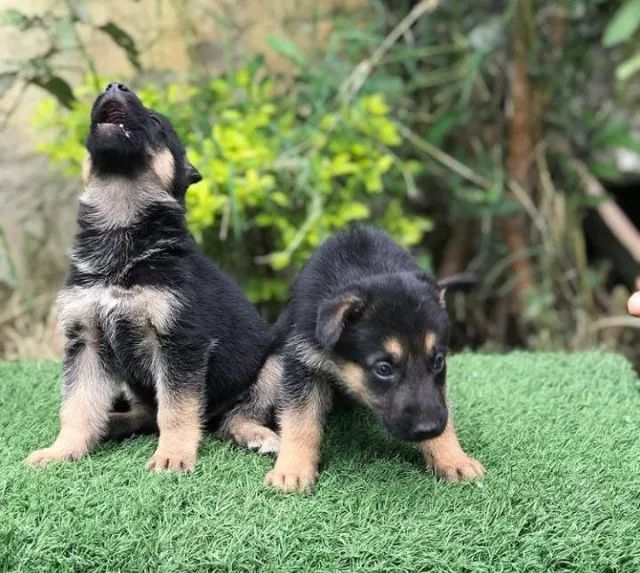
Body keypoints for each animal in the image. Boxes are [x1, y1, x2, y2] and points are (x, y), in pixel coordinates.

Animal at [26, 82, 276, 472]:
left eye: (157, 121)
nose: (114, 85)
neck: (120, 229)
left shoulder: (180, 342)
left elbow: (176, 408)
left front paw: (172, 455)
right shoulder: (86, 340)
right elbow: (77, 405)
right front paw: (62, 450)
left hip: (275, 364)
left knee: (234, 417)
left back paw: (258, 436)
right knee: (146, 413)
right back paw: (113, 423)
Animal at [264, 227, 484, 492]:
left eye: (438, 361)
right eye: (384, 368)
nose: (429, 428)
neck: (369, 268)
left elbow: (444, 408)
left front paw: (453, 459)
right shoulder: (302, 362)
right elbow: (300, 419)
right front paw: (292, 470)